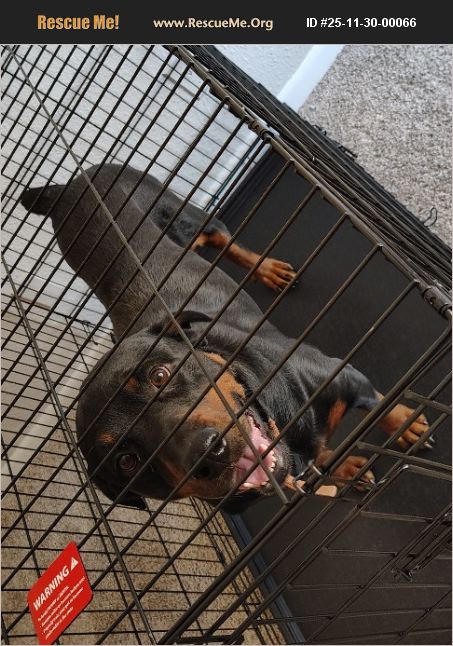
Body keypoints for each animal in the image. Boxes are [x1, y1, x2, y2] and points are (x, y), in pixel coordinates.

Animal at [21, 163, 431, 513]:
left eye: (159, 375)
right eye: (127, 461)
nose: (207, 454)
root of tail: (63, 187)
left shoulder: (339, 373)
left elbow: (381, 405)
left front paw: (407, 426)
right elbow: (323, 459)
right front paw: (345, 468)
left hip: (186, 212)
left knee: (224, 240)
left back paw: (268, 269)